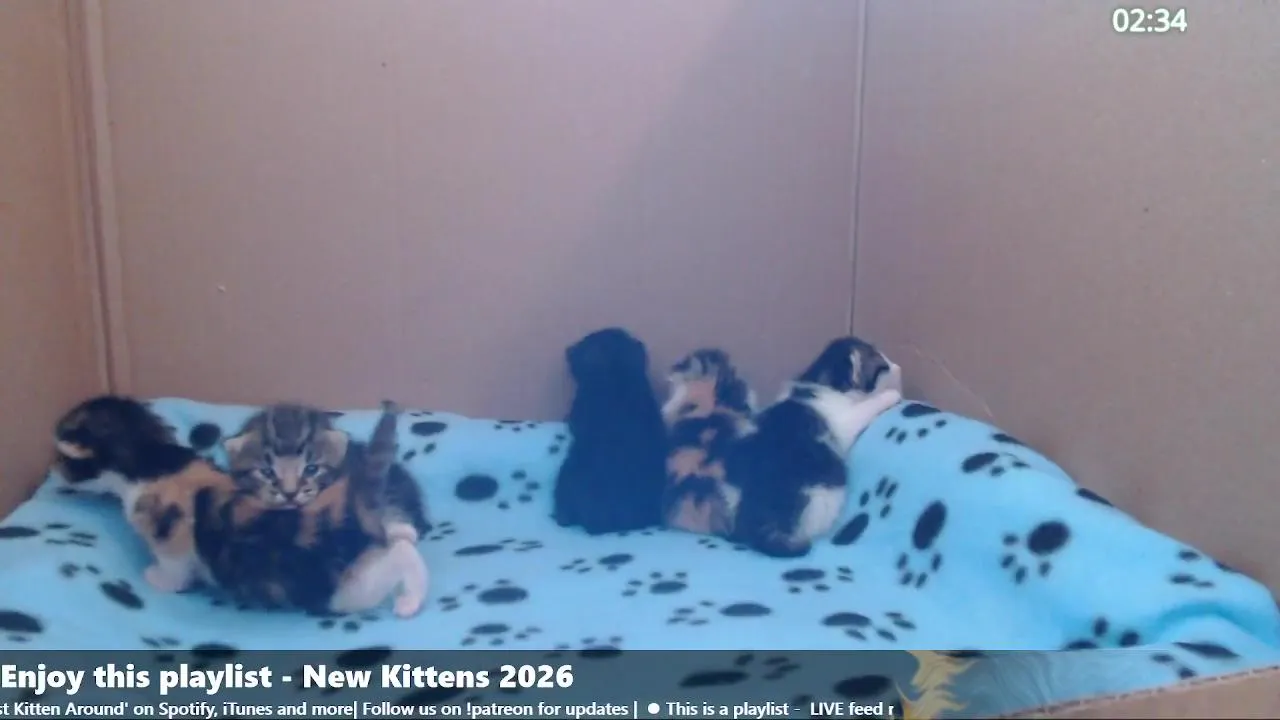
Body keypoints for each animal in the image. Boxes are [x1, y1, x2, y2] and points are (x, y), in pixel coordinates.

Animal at [725, 336, 903, 558]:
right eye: (883, 365)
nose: (899, 367)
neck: (819, 379)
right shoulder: (843, 421)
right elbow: (865, 408)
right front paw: (892, 395)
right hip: (824, 497)